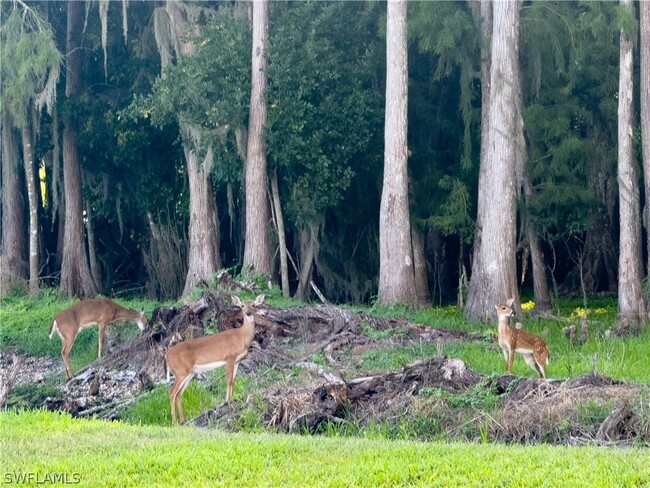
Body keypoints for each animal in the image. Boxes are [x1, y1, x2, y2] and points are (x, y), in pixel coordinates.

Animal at [166, 294, 264, 424]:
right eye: (242, 305)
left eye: (253, 305)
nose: (248, 312)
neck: (242, 337)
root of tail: (166, 355)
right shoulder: (229, 357)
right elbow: (228, 380)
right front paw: (227, 401)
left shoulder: (237, 361)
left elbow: (233, 380)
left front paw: (231, 399)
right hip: (181, 371)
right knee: (172, 392)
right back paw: (174, 422)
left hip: (189, 373)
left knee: (178, 394)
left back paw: (183, 420)